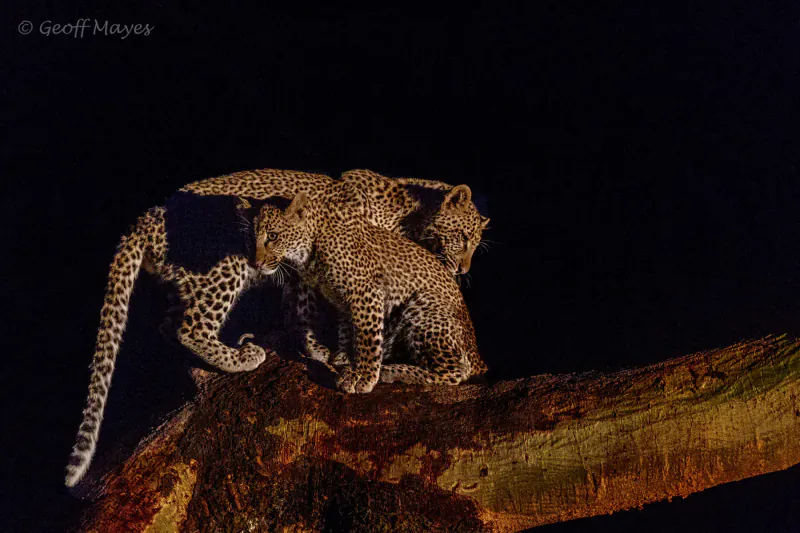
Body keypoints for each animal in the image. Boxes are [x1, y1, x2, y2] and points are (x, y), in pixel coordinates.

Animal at [253, 190, 489, 394]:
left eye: (272, 236)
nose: (256, 263)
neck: (309, 252)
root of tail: (479, 357)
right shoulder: (343, 300)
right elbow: (348, 331)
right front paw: (345, 358)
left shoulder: (366, 292)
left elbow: (367, 338)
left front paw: (362, 376)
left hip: (424, 306)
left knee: (456, 372)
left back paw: (391, 370)